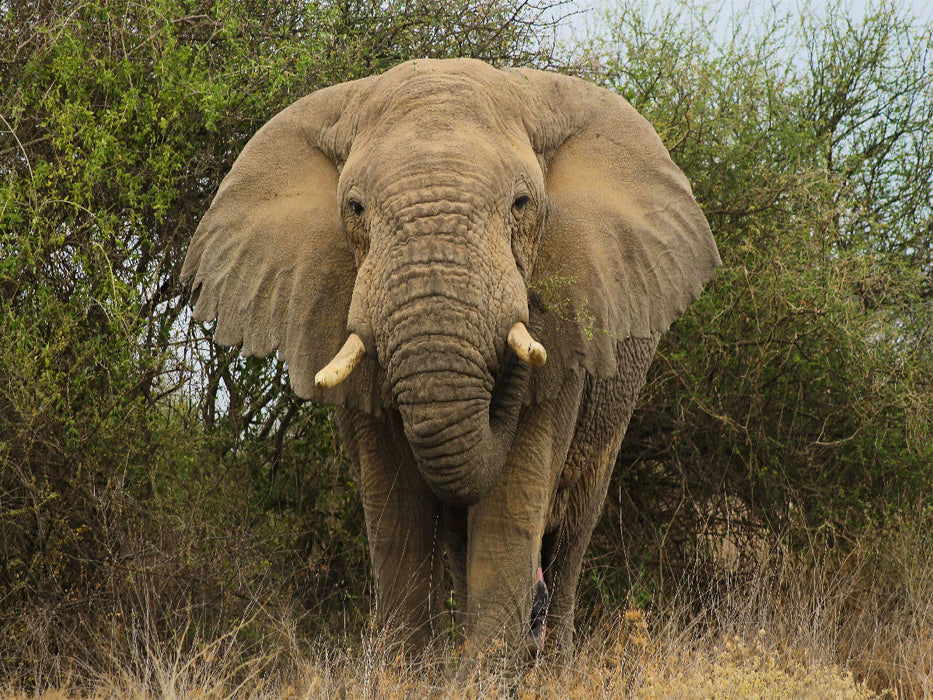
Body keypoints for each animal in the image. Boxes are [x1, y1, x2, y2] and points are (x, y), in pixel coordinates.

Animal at [181, 58, 720, 658]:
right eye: (355, 209)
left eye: (521, 205)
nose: (525, 310)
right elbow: (395, 508)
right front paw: (407, 669)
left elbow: (511, 502)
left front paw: (484, 671)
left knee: (572, 531)